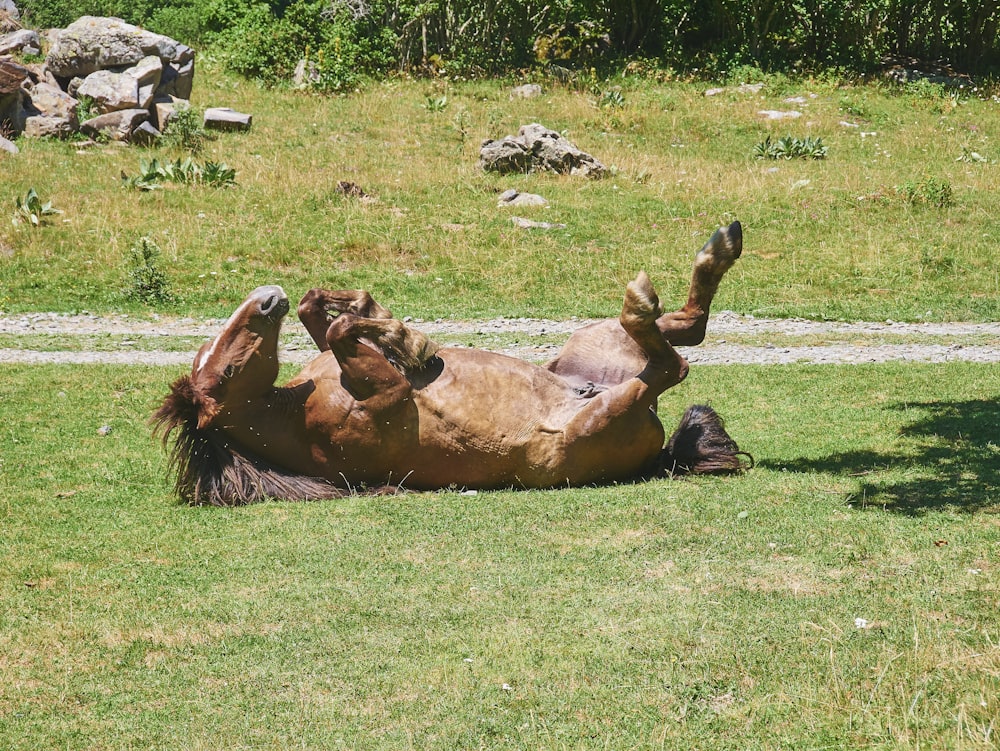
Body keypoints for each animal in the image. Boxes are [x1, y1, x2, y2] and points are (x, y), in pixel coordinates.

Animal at [154, 222, 752, 506]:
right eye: (226, 375)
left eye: (221, 360)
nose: (264, 300)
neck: (292, 414)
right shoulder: (389, 398)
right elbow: (347, 332)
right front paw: (411, 341)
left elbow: (323, 313)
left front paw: (391, 326)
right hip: (601, 416)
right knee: (672, 363)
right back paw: (652, 294)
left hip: (596, 341)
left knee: (688, 325)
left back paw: (720, 245)